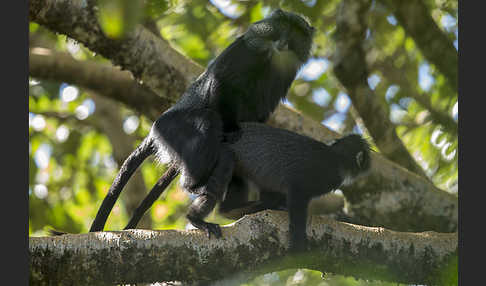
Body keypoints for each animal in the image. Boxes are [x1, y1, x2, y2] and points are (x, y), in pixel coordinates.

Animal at [87, 8, 316, 238]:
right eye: (282, 25)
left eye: (296, 32)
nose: (283, 43)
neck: (272, 58)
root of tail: (155, 131)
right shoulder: (245, 52)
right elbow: (221, 84)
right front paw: (232, 128)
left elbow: (260, 113)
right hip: (172, 128)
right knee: (208, 120)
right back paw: (194, 186)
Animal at [122, 122, 372, 251]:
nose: (368, 164)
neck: (336, 156)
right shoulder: (322, 176)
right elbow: (297, 195)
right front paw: (298, 243)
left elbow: (273, 192)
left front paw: (273, 205)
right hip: (214, 156)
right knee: (222, 172)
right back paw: (197, 219)